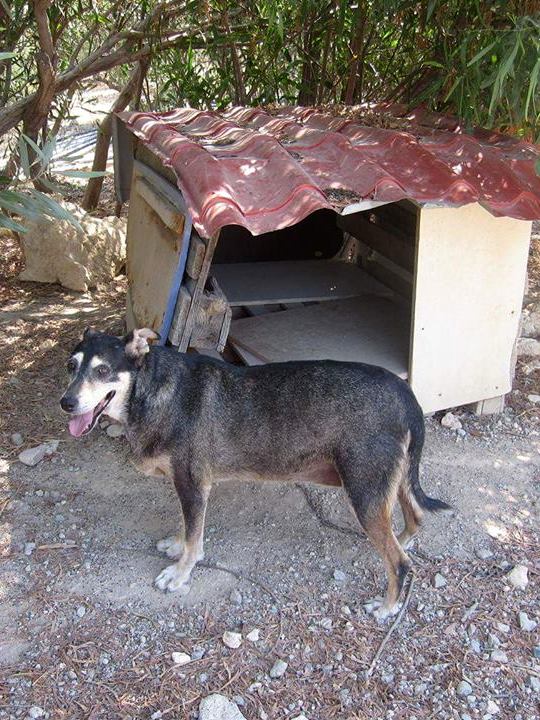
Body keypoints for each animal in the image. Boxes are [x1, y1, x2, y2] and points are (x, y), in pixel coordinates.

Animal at [59, 330, 450, 616]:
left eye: (102, 371)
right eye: (71, 365)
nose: (66, 403)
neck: (152, 388)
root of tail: (404, 390)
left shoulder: (193, 483)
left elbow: (195, 540)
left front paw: (181, 573)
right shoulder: (184, 485)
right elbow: (187, 526)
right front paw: (177, 543)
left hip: (365, 492)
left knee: (400, 563)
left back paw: (387, 607)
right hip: (390, 482)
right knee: (415, 517)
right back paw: (406, 540)